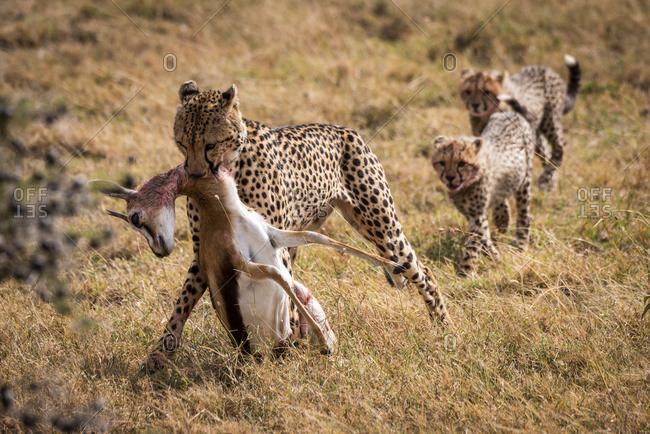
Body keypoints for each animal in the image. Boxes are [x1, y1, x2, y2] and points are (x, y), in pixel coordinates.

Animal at [93, 165, 402, 357]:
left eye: (134, 217)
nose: (160, 251)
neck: (224, 211)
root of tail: (260, 351)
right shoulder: (243, 262)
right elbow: (275, 272)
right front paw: (325, 342)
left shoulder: (273, 235)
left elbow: (318, 237)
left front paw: (394, 267)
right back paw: (323, 344)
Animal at [143, 81, 452, 371]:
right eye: (182, 143)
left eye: (210, 144)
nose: (194, 174)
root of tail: (344, 129)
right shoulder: (207, 250)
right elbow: (183, 301)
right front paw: (159, 353)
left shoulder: (267, 241)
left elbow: (285, 294)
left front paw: (290, 352)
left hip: (381, 228)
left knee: (420, 270)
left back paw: (445, 328)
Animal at [431, 110, 535, 276]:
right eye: (442, 163)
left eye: (461, 163)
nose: (450, 177)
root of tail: (509, 112)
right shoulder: (472, 215)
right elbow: (484, 237)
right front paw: (496, 257)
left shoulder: (476, 215)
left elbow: (473, 245)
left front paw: (465, 273)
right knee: (501, 200)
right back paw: (502, 221)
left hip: (525, 179)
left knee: (524, 215)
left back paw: (520, 244)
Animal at [458, 54, 581, 191]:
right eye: (468, 92)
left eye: (486, 92)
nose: (475, 105)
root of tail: (548, 69)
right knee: (546, 153)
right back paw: (550, 184)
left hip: (549, 120)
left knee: (560, 145)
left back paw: (545, 179)